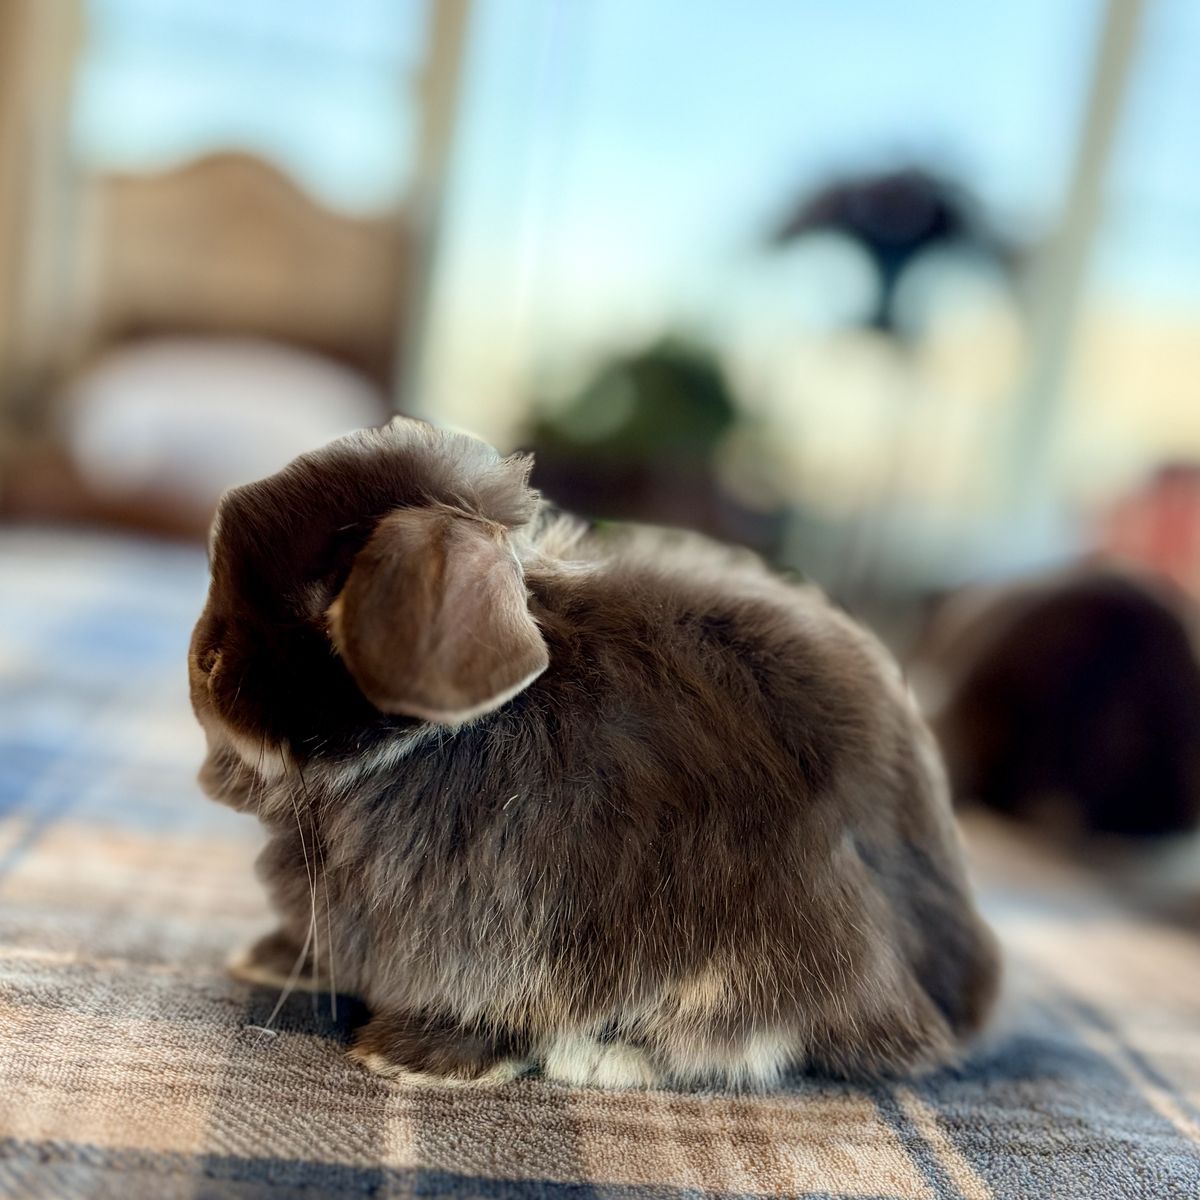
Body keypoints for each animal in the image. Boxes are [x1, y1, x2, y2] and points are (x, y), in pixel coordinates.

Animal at [189, 417, 999, 1089]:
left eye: (329, 597)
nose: (204, 663)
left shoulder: (520, 928)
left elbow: (500, 1002)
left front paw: (411, 1057)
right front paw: (269, 961)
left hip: (798, 933)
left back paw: (605, 1057)